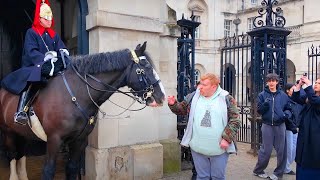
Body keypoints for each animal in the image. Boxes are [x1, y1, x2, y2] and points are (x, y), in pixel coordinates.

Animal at [0, 41, 165, 179]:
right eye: (145, 69)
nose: (162, 96)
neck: (77, 94)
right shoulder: (54, 139)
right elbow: (48, 170)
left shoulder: (79, 140)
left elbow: (72, 168)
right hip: (7, 131)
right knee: (12, 154)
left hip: (22, 132)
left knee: (21, 152)